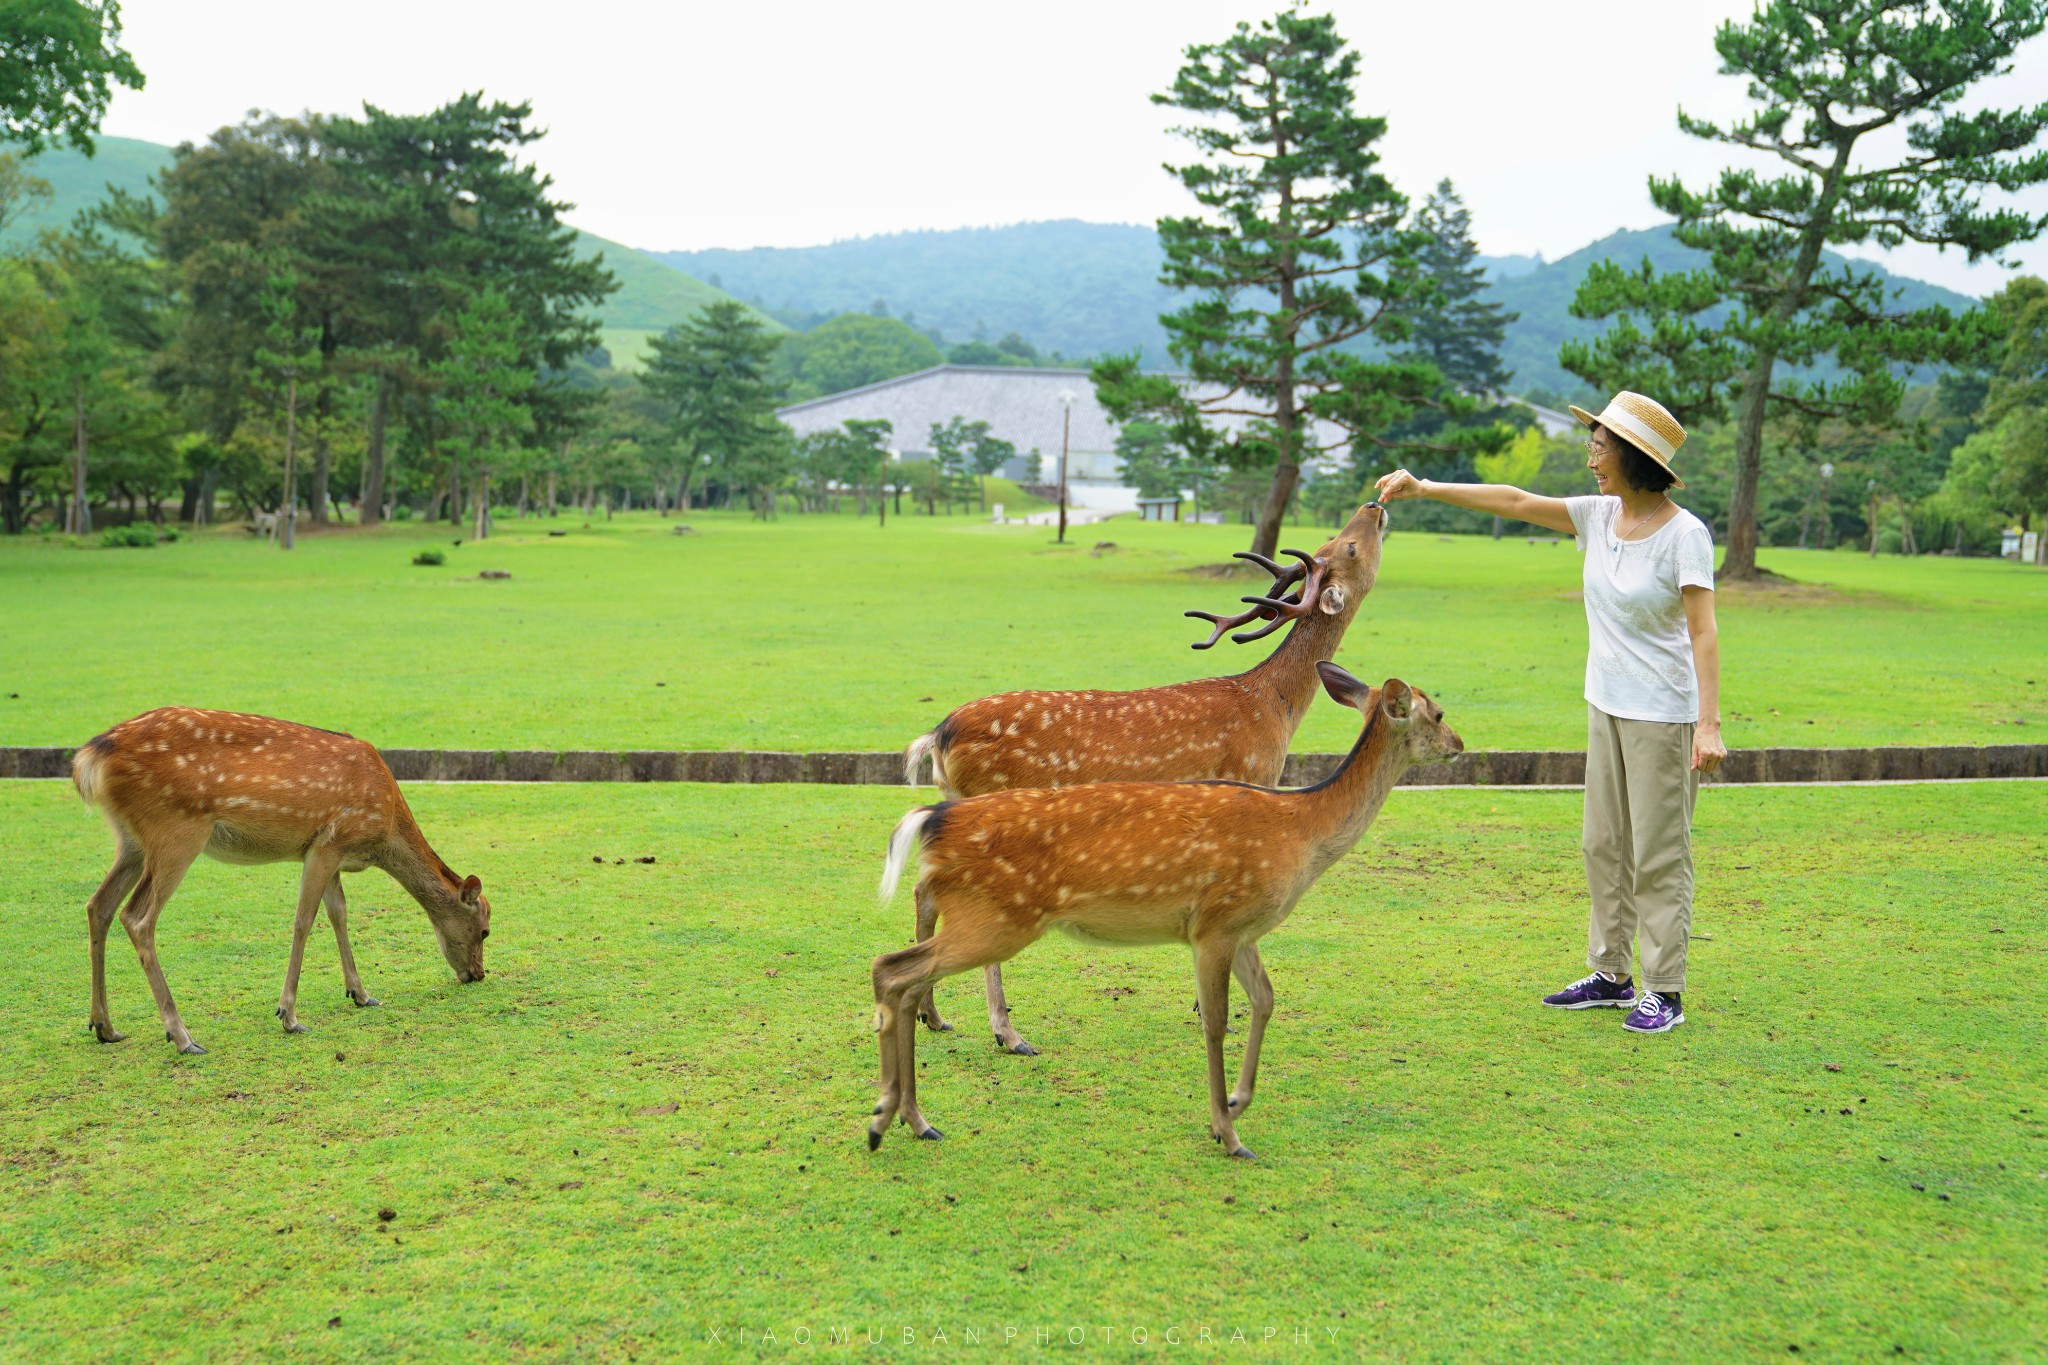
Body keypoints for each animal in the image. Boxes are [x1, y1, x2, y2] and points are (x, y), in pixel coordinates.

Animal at [73, 712, 495, 1055]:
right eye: (486, 930)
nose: (478, 974)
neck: (383, 830)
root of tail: (91, 757)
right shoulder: (328, 844)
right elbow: (304, 921)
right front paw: (289, 1015)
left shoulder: (330, 853)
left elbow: (339, 914)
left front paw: (361, 994)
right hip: (176, 831)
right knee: (137, 917)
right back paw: (182, 1037)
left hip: (131, 840)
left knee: (98, 905)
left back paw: (105, 1027)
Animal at [872, 667, 1466, 1162]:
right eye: (1437, 712)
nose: (1461, 745)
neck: (1302, 832)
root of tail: (930, 818)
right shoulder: (1216, 923)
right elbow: (1217, 1022)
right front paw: (1228, 1133)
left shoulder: (1244, 930)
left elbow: (1267, 1001)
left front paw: (1235, 1103)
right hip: (996, 918)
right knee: (892, 968)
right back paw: (900, 1113)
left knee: (900, 974)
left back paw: (908, 1117)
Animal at [901, 501, 1392, 1055]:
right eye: (1348, 546)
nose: (1375, 506)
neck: (1275, 709)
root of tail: (937, 736)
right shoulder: (1244, 781)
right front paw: (1214, 1011)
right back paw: (1007, 1032)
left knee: (923, 892)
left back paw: (933, 1015)